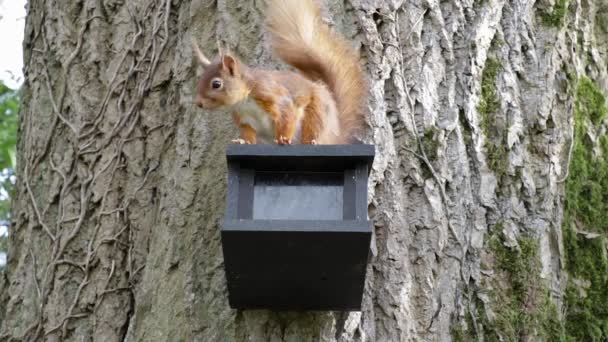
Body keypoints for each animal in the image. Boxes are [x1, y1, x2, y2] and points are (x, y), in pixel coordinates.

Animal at [192, 0, 368, 144]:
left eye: (216, 84)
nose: (198, 103)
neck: (244, 100)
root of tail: (336, 134)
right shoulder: (243, 119)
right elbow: (248, 134)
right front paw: (242, 142)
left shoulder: (271, 95)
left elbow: (287, 116)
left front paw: (283, 139)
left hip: (316, 114)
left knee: (314, 129)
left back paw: (312, 142)